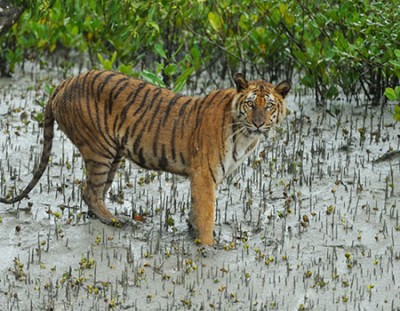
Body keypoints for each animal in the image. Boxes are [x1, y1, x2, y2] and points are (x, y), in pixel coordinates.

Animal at [1, 70, 292, 246]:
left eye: (269, 105)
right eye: (251, 103)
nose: (259, 123)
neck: (244, 135)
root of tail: (65, 81)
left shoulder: (204, 178)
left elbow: (196, 209)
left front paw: (192, 232)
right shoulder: (204, 175)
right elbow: (207, 214)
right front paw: (208, 246)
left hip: (114, 155)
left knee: (95, 192)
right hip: (100, 150)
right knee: (89, 191)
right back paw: (115, 221)